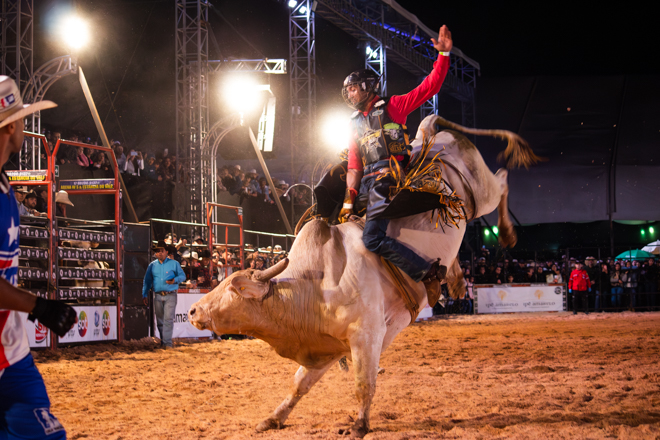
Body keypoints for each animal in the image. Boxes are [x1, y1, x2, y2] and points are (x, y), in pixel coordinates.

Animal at [187, 115, 540, 438]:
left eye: (232, 288)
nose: (192, 310)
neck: (316, 286)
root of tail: (430, 131)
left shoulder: (366, 335)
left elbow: (363, 383)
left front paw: (359, 424)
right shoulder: (326, 346)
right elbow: (300, 384)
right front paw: (273, 418)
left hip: (481, 192)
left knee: (503, 180)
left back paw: (507, 233)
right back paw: (451, 279)